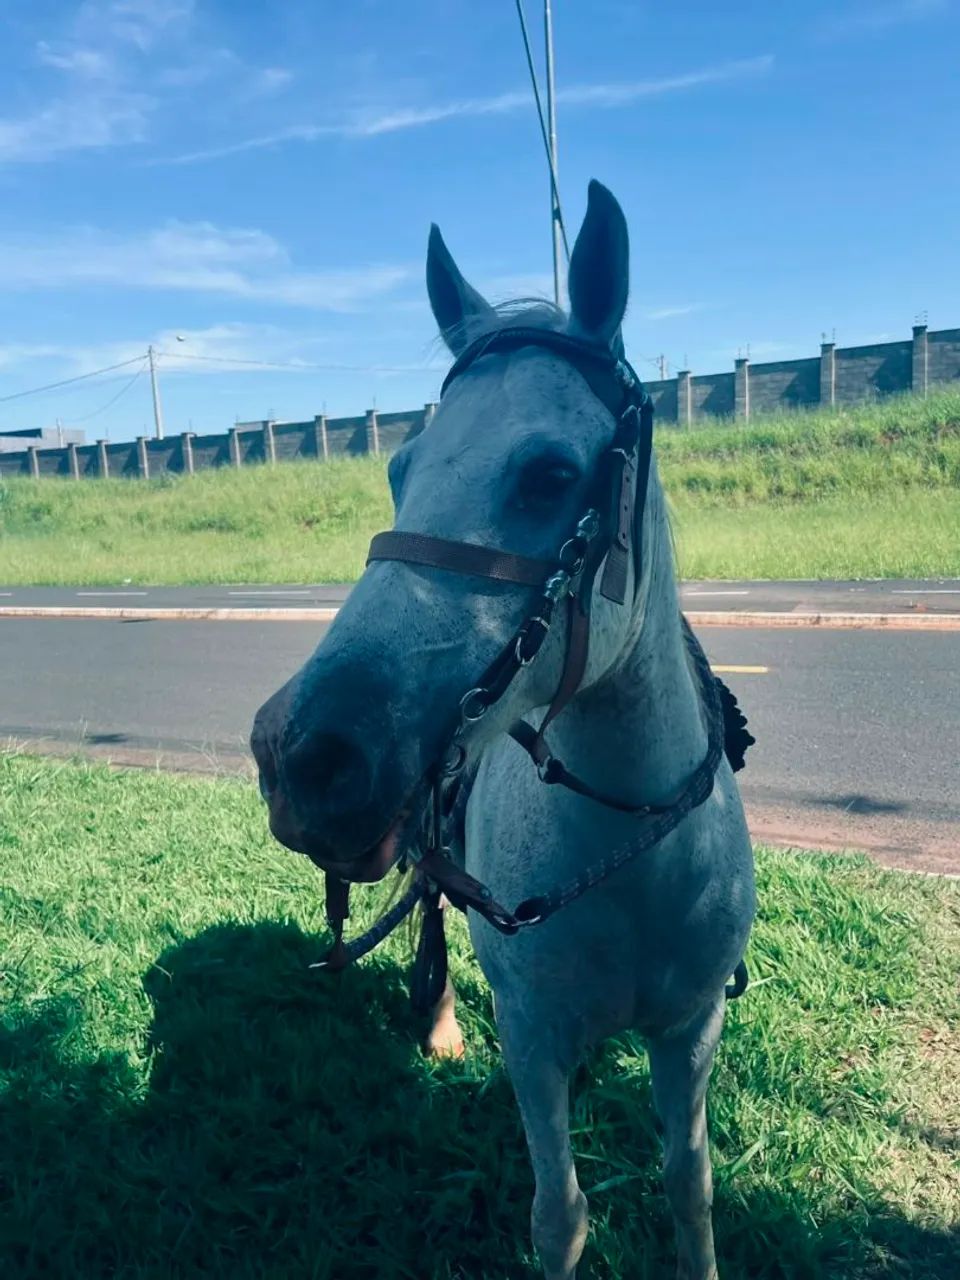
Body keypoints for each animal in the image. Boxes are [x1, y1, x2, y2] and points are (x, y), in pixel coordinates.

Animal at [251, 180, 756, 1280]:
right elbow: (559, 1213)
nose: (303, 756)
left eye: (549, 476)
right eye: (401, 470)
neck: (627, 851)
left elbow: (689, 1186)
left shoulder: (692, 1030)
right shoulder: (533, 1037)